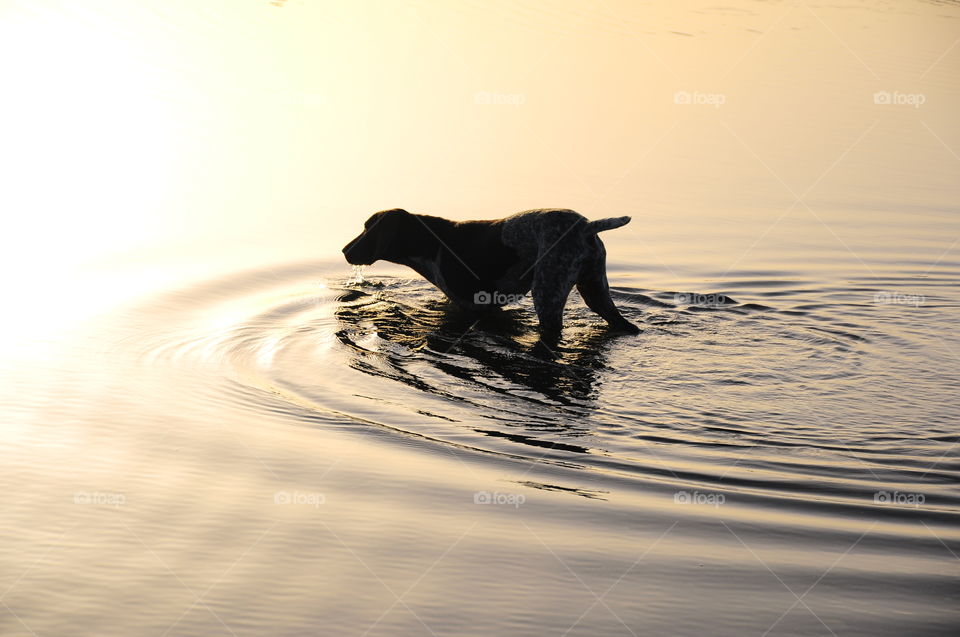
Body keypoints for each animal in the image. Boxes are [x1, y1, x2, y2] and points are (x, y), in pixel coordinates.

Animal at [342, 210, 640, 346]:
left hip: (548, 294)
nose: (344, 250)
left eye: (369, 229)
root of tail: (586, 227)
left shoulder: (476, 306)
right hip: (596, 291)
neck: (433, 245)